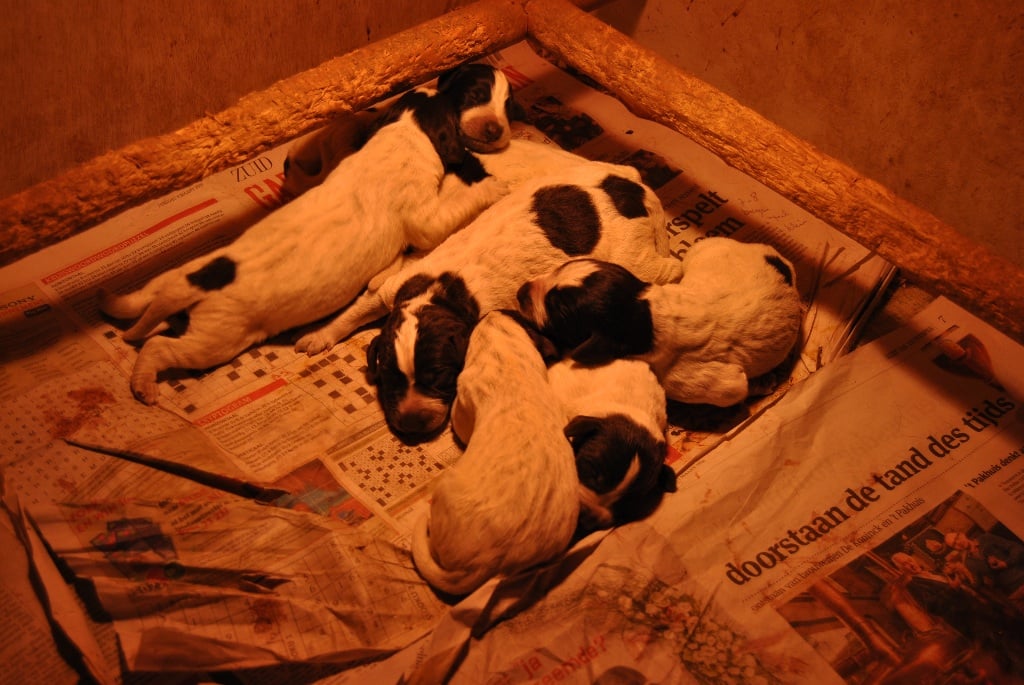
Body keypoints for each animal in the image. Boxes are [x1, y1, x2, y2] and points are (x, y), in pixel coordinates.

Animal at [98, 61, 512, 403]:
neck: (403, 131)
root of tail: (197, 283)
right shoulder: (426, 217)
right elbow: (446, 213)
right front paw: (493, 188)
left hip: (173, 281)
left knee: (143, 301)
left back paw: (114, 303)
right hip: (214, 340)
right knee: (159, 347)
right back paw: (144, 384)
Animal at [305, 158, 688, 438]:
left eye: (438, 378)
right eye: (389, 375)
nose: (413, 425)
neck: (440, 295)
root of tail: (632, 183)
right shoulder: (390, 291)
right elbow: (357, 309)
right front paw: (317, 336)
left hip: (633, 254)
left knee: (665, 268)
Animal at [516, 236, 802, 405]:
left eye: (557, 309)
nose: (520, 292)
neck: (648, 314)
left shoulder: (709, 384)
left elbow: (739, 388)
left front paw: (763, 384)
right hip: (705, 245)